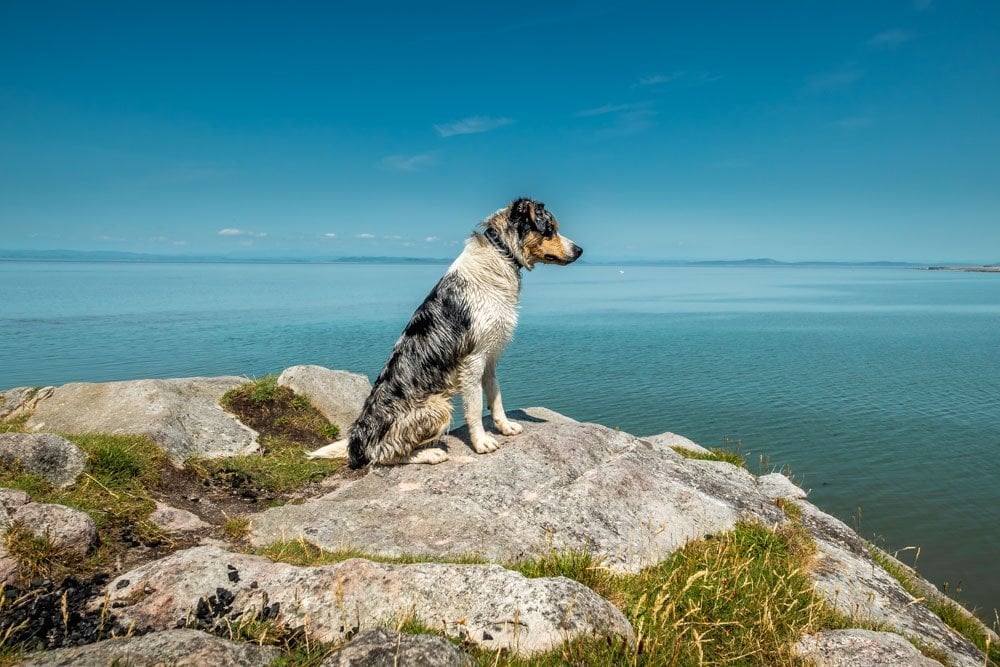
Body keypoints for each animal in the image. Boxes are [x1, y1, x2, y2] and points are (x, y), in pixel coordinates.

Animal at [308, 198, 584, 468]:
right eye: (550, 229)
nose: (580, 250)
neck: (501, 256)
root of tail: (357, 440)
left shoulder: (490, 356)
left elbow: (496, 396)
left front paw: (505, 427)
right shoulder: (473, 361)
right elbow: (474, 408)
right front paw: (482, 443)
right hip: (437, 406)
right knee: (383, 455)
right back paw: (431, 454)